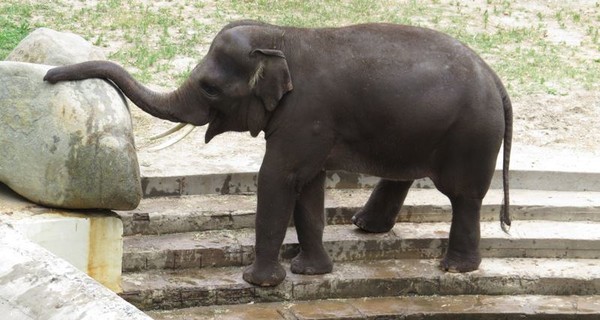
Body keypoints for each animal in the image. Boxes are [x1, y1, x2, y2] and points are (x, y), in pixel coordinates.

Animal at [44, 20, 510, 288]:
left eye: (209, 87)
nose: (49, 75)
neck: (282, 35)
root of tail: (497, 79)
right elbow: (307, 185)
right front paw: (310, 273)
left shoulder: (307, 112)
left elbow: (277, 177)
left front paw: (258, 283)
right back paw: (365, 227)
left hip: (470, 135)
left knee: (464, 195)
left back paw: (455, 269)